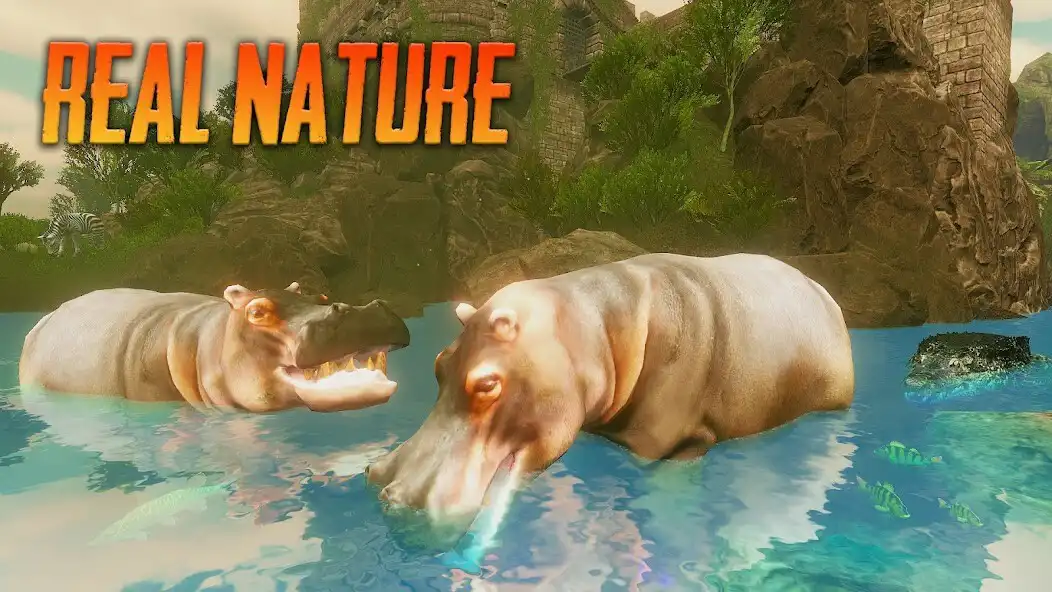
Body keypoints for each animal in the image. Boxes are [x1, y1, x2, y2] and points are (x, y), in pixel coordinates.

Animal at [366, 253, 855, 524]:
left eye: (487, 383)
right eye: (439, 364)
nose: (385, 485)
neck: (590, 326)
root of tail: (823, 290)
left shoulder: (675, 444)